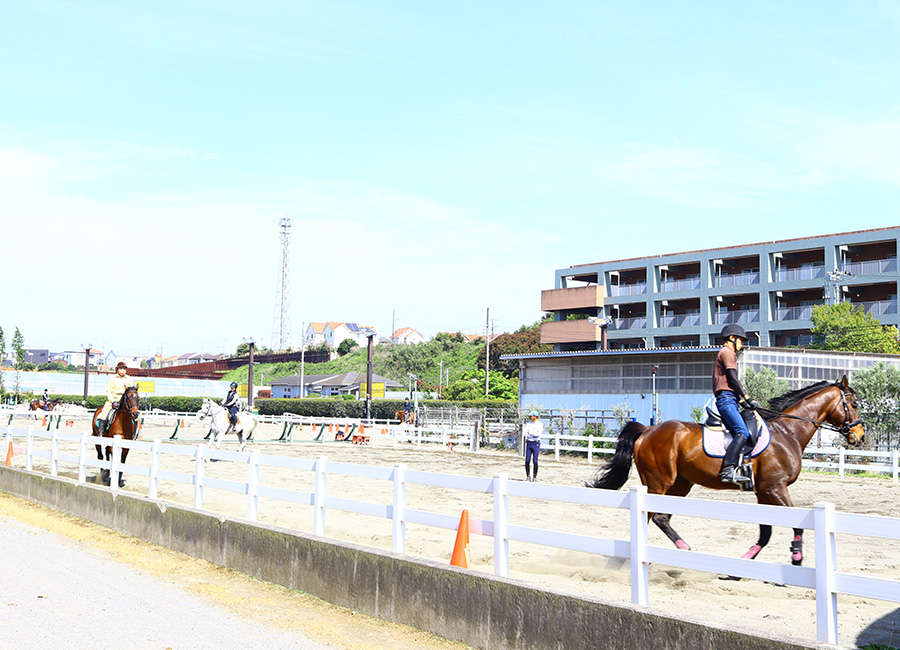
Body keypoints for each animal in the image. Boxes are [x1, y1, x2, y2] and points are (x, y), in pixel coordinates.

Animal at [588, 374, 868, 560]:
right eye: (853, 404)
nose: (860, 436)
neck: (788, 431)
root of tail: (647, 430)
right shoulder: (775, 487)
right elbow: (796, 523)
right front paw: (796, 557)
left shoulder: (763, 491)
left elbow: (765, 531)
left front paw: (747, 559)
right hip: (659, 482)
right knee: (650, 515)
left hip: (680, 484)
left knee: (659, 517)